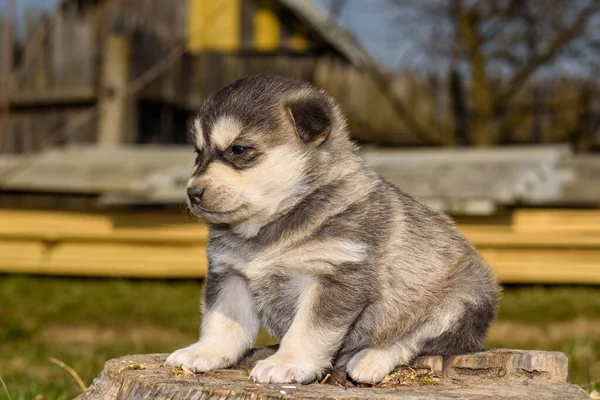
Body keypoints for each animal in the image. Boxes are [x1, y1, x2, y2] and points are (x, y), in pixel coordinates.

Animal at [166, 74, 500, 384]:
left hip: (458, 304)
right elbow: (222, 322)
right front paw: (203, 351)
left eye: (238, 149)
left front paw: (287, 362)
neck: (272, 225)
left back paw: (369, 359)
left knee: (410, 340)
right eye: (197, 152)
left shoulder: (336, 275)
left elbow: (308, 329)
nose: (192, 193)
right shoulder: (230, 274)